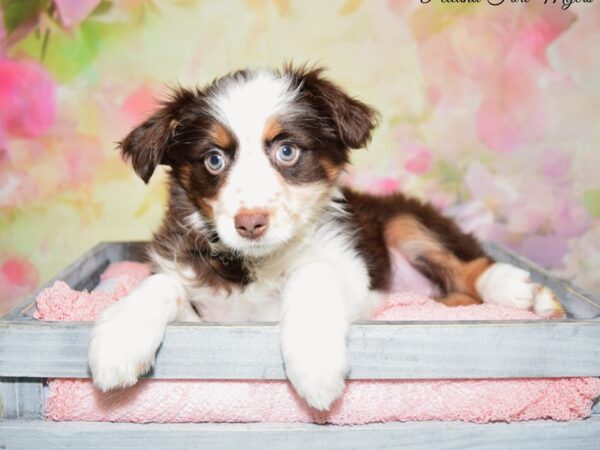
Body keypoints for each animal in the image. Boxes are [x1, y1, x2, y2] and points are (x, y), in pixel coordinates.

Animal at [88, 64, 564, 412]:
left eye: (287, 151)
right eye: (214, 160)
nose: (250, 223)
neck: (258, 263)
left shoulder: (350, 271)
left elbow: (311, 274)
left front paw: (315, 364)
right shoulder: (205, 313)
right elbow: (162, 284)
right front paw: (119, 340)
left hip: (402, 220)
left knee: (470, 264)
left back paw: (520, 290)